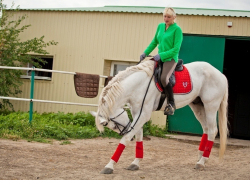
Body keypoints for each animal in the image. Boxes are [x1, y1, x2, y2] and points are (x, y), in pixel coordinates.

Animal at [90, 59, 229, 174]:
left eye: (113, 125)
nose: (125, 128)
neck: (138, 84)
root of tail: (220, 74)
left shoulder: (143, 114)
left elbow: (126, 138)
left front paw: (109, 166)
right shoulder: (137, 112)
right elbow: (138, 135)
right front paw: (136, 163)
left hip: (210, 106)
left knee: (212, 130)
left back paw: (202, 161)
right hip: (198, 106)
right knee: (206, 129)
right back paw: (201, 157)